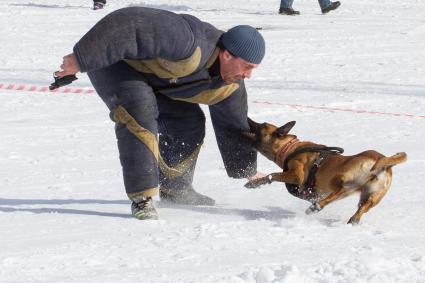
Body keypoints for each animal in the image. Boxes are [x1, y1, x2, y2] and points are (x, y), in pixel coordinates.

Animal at [243, 118, 406, 225]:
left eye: (262, 125)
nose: (248, 118)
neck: (289, 148)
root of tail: (382, 160)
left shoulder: (296, 175)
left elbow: (272, 175)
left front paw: (255, 182)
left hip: (340, 179)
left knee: (340, 191)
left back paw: (317, 206)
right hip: (371, 195)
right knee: (363, 207)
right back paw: (353, 219)